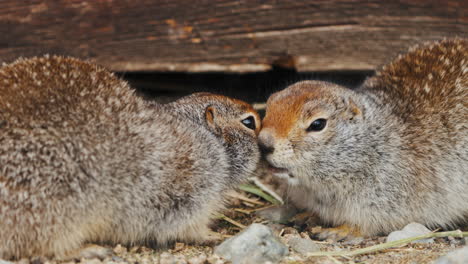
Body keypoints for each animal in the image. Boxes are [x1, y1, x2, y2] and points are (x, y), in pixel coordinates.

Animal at [260, 38, 468, 238]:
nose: (263, 143)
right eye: (269, 104)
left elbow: (367, 224)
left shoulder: (386, 198)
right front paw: (307, 216)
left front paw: (340, 231)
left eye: (317, 124)